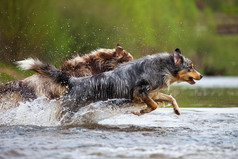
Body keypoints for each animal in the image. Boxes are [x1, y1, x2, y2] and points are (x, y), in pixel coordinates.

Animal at [17, 48, 203, 119]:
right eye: (191, 67)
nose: (201, 75)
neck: (163, 67)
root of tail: (74, 80)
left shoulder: (154, 93)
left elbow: (170, 98)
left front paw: (176, 110)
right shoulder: (140, 92)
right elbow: (154, 105)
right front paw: (142, 111)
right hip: (67, 111)